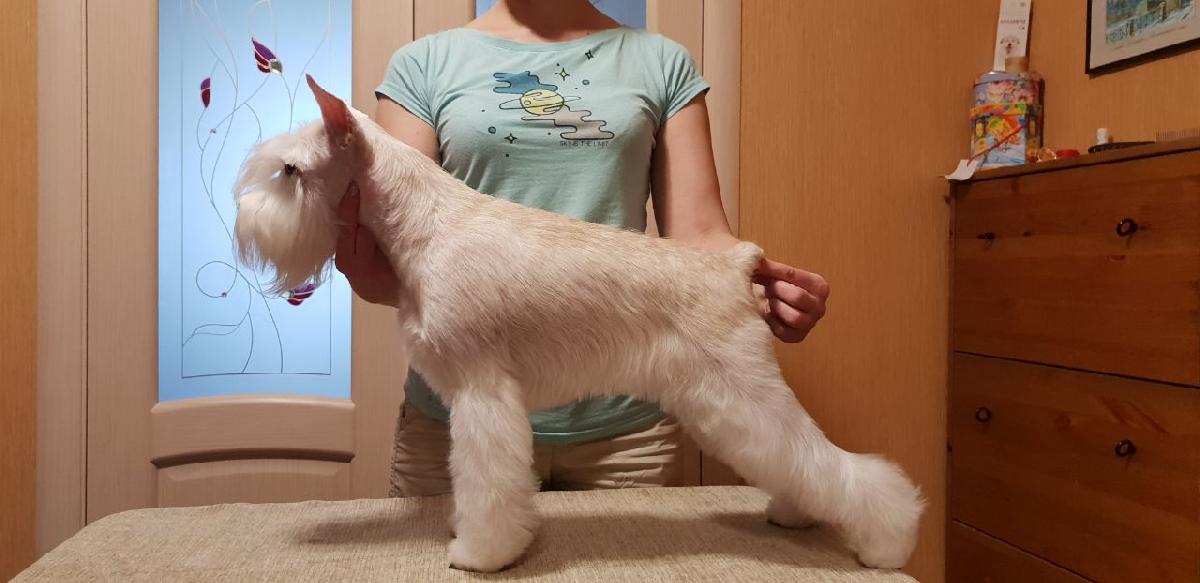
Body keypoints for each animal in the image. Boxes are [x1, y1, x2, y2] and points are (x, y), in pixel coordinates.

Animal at [234, 75, 924, 573]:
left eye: (290, 171)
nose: (243, 219)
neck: (428, 223)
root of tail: (737, 263)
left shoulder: (483, 395)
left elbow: (487, 483)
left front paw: (480, 553)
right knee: (804, 464)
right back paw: (797, 513)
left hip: (746, 395)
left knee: (836, 465)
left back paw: (886, 541)